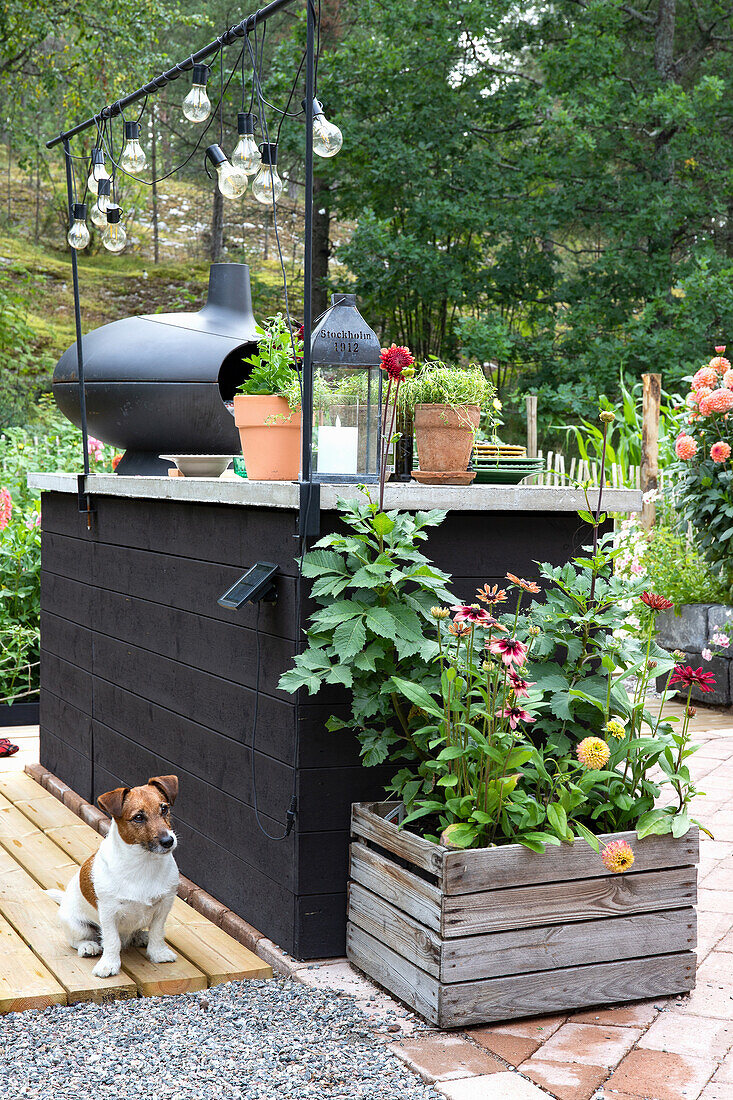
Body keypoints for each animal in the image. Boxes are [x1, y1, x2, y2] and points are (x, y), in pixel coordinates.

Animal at [47, 774, 179, 981]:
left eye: (164, 808)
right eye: (138, 817)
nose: (168, 841)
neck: (144, 863)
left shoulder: (164, 906)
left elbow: (158, 932)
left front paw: (158, 953)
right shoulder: (109, 913)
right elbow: (111, 941)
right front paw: (109, 964)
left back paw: (141, 936)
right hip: (76, 925)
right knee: (78, 940)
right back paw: (88, 946)